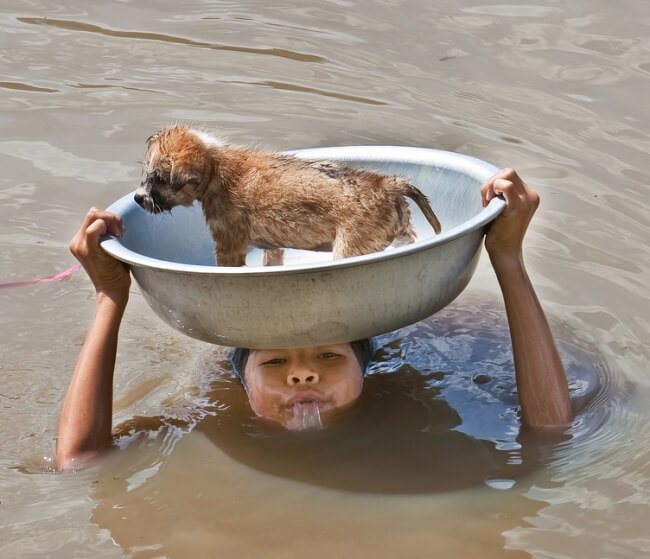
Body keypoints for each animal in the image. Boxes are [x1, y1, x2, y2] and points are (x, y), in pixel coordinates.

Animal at [135, 125, 440, 270]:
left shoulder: (229, 244)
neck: (216, 166)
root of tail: (388, 184)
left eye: (159, 179)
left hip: (350, 248)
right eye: (146, 174)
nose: (138, 198)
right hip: (401, 231)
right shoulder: (272, 248)